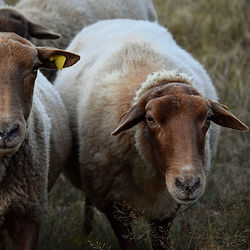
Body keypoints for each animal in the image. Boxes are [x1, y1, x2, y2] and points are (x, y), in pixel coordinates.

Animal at [54, 18, 248, 249]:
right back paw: (86, 232)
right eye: (150, 119)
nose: (188, 184)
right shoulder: (113, 204)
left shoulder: (167, 206)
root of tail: (120, 20)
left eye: (208, 118)